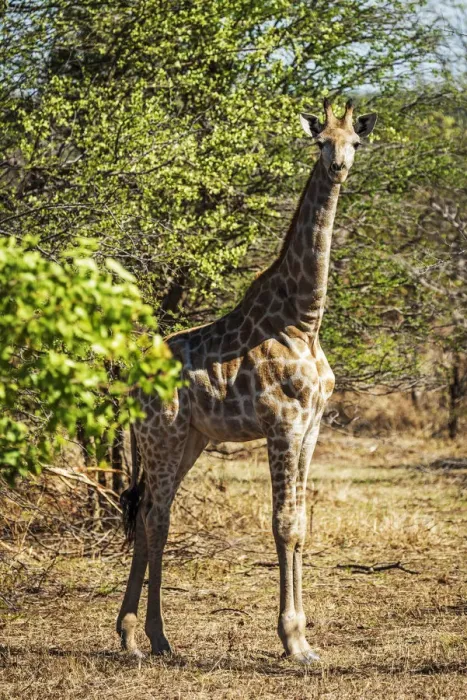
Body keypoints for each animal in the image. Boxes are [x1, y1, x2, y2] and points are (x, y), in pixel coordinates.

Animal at [116, 98, 377, 664]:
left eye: (355, 141)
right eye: (320, 141)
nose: (338, 167)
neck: (304, 319)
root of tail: (129, 384)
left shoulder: (310, 429)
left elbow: (301, 523)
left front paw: (304, 639)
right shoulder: (282, 424)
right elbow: (283, 525)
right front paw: (292, 641)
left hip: (189, 441)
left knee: (146, 514)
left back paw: (139, 636)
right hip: (163, 437)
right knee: (157, 517)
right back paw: (149, 637)